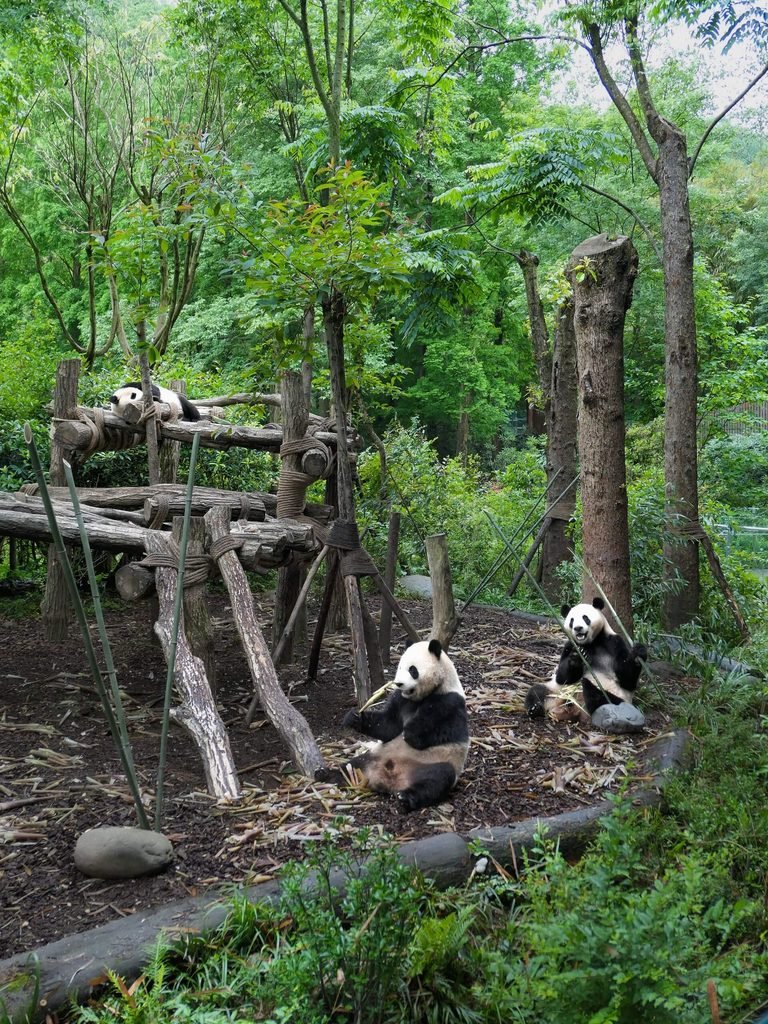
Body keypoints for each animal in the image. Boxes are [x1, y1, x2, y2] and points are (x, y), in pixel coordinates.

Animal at [316, 639, 469, 812]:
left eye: (413, 670)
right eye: (400, 666)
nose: (399, 683)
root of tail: (389, 782)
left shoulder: (450, 702)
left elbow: (439, 731)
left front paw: (410, 732)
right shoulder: (400, 700)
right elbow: (388, 726)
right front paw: (353, 717)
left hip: (435, 762)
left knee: (436, 780)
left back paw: (405, 799)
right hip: (372, 758)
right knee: (351, 766)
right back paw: (325, 774)